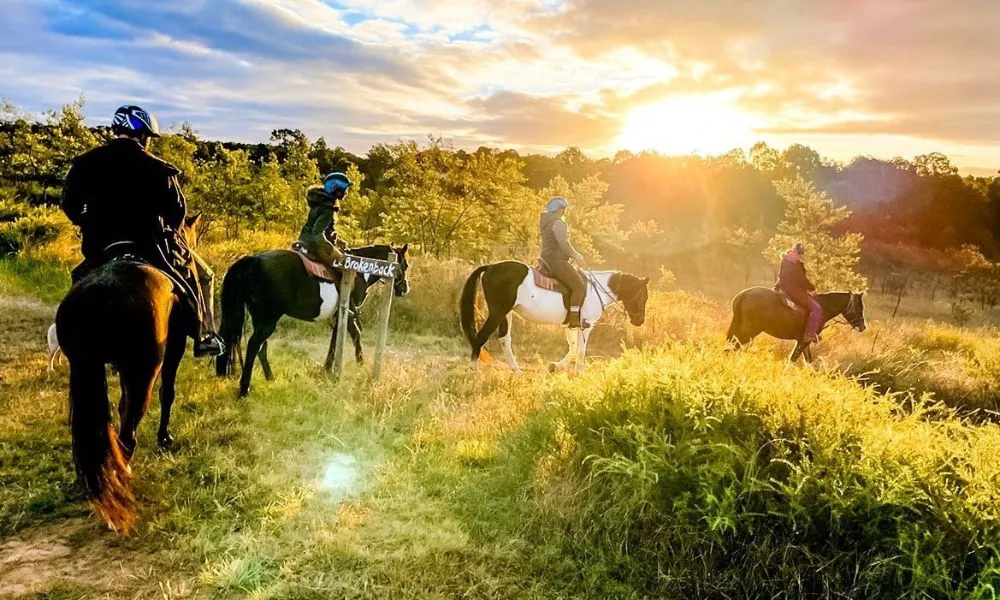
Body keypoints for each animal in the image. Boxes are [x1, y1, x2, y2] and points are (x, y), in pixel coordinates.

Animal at [55, 215, 204, 533]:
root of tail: (100, 293)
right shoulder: (174, 347)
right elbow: (168, 392)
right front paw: (165, 439)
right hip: (143, 370)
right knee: (128, 430)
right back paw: (123, 475)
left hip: (86, 369)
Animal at [214, 244, 410, 397]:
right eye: (405, 265)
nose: (405, 289)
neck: (361, 271)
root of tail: (254, 260)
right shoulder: (347, 313)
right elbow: (353, 334)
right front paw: (355, 365)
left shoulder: (340, 315)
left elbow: (338, 339)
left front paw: (329, 368)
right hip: (269, 319)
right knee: (254, 344)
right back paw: (244, 389)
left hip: (260, 317)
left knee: (261, 346)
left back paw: (270, 377)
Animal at [460, 261, 649, 374]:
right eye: (642, 296)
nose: (639, 321)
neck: (597, 289)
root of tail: (491, 267)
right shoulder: (586, 325)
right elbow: (581, 349)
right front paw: (579, 373)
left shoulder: (571, 325)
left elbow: (573, 347)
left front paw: (555, 366)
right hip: (498, 312)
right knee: (482, 336)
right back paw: (474, 370)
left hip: (507, 314)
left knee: (504, 339)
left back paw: (516, 370)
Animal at [726, 288, 867, 362]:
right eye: (859, 306)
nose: (863, 326)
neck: (823, 307)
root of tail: (744, 294)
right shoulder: (804, 341)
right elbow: (793, 359)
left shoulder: (803, 342)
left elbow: (808, 361)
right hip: (750, 331)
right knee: (734, 346)